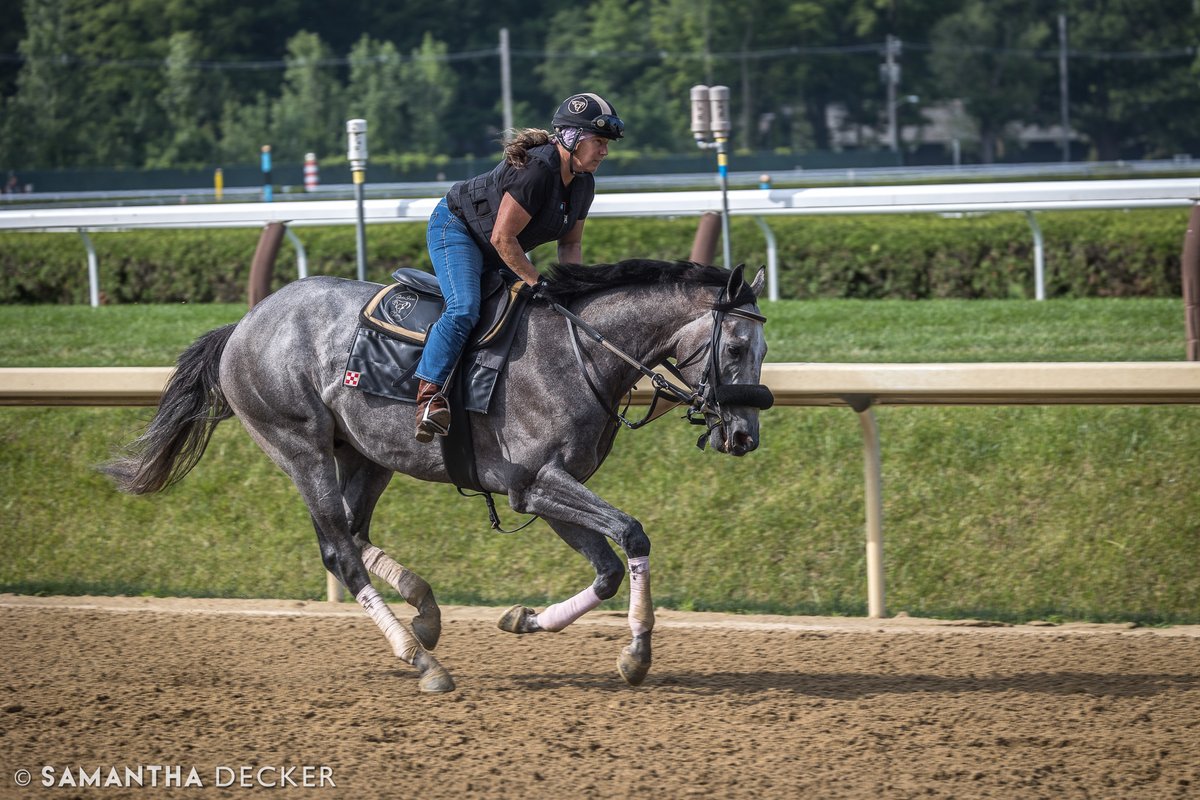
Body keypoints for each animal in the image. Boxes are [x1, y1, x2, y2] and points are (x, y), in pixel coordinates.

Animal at [103, 260, 768, 690]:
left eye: (764, 349)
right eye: (737, 348)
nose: (743, 436)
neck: (583, 353)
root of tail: (242, 325)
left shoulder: (543, 490)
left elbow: (605, 571)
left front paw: (525, 619)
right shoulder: (537, 482)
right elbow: (631, 533)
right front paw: (637, 652)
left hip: (366, 455)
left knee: (353, 534)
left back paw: (425, 613)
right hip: (300, 447)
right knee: (338, 549)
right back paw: (421, 660)